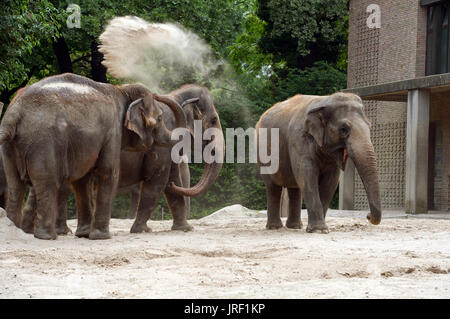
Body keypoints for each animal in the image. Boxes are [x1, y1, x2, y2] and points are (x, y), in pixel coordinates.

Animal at [0, 73, 186, 240]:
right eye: (160, 118)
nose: (158, 94)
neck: (122, 90)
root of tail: (14, 113)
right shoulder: (112, 131)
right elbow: (108, 173)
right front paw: (101, 237)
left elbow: (82, 181)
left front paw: (83, 234)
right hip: (44, 142)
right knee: (47, 183)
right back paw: (48, 237)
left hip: (10, 148)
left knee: (16, 184)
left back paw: (15, 232)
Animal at [21, 84, 225, 235]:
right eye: (214, 120)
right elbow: (157, 180)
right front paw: (142, 230)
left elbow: (169, 180)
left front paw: (184, 228)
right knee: (61, 187)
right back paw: (60, 232)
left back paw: (28, 230)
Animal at [255, 92, 382, 232]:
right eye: (344, 129)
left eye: (369, 126)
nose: (368, 216)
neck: (324, 100)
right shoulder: (299, 139)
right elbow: (307, 175)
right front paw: (319, 230)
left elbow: (331, 181)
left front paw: (321, 229)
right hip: (262, 155)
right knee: (273, 187)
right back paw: (274, 227)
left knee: (295, 187)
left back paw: (294, 227)